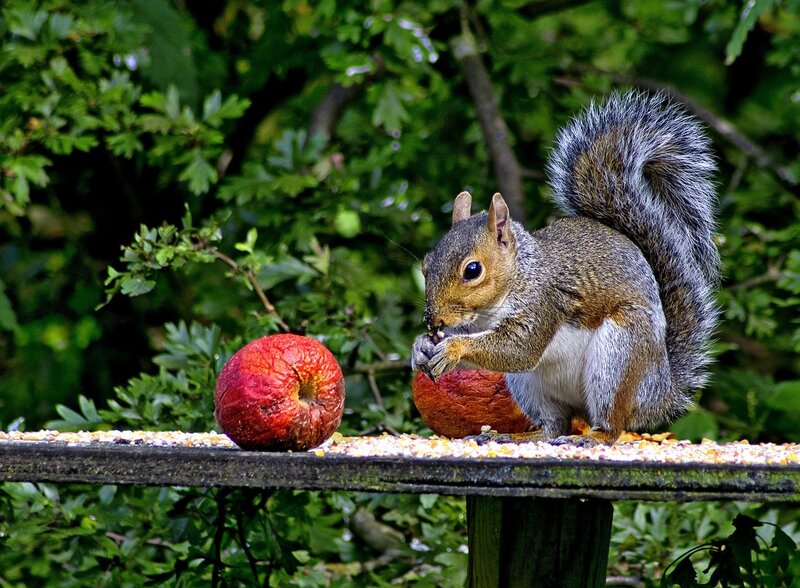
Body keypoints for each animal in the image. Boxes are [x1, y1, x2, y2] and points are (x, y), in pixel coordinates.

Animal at [411, 91, 719, 446]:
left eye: (472, 270)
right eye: (426, 264)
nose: (433, 320)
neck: (519, 276)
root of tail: (658, 391)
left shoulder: (544, 303)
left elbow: (520, 348)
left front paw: (453, 347)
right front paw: (420, 346)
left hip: (618, 357)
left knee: (611, 424)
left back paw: (591, 437)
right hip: (529, 385)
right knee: (553, 425)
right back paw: (518, 437)